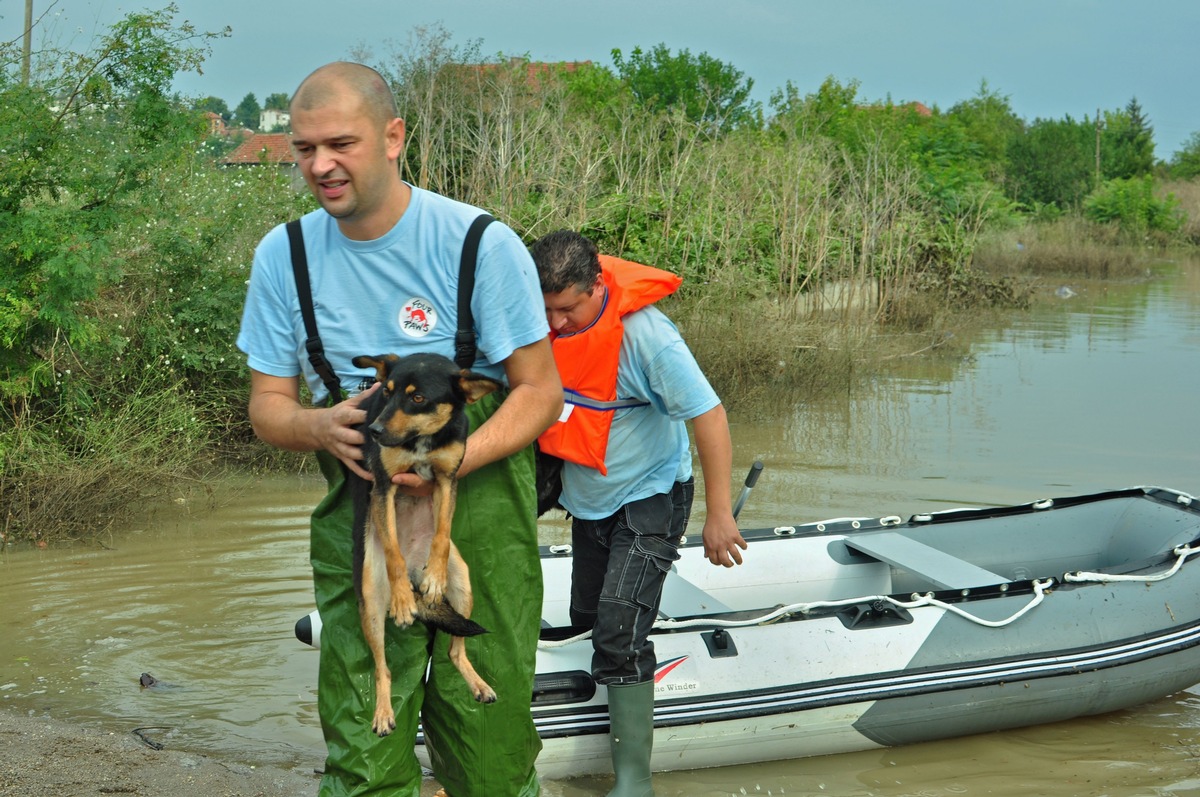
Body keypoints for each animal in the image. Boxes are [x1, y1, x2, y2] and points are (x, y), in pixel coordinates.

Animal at [350, 352, 499, 739]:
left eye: (418, 398)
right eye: (386, 392)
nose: (374, 431)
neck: (420, 438)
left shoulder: (447, 479)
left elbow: (442, 532)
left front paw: (435, 575)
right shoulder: (384, 486)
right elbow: (393, 552)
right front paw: (402, 600)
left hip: (463, 585)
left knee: (455, 652)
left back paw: (478, 684)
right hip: (371, 600)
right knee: (382, 668)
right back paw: (383, 713)